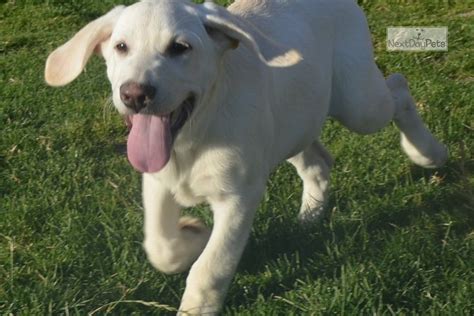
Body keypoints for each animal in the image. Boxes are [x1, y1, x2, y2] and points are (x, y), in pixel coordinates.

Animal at [45, 0, 448, 314]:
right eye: (121, 47)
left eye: (180, 47)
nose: (134, 94)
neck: (192, 138)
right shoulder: (157, 180)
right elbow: (160, 246)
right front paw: (192, 234)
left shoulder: (239, 198)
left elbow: (211, 267)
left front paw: (196, 307)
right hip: (293, 124)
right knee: (318, 160)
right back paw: (311, 215)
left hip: (358, 103)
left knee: (398, 87)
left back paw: (428, 152)